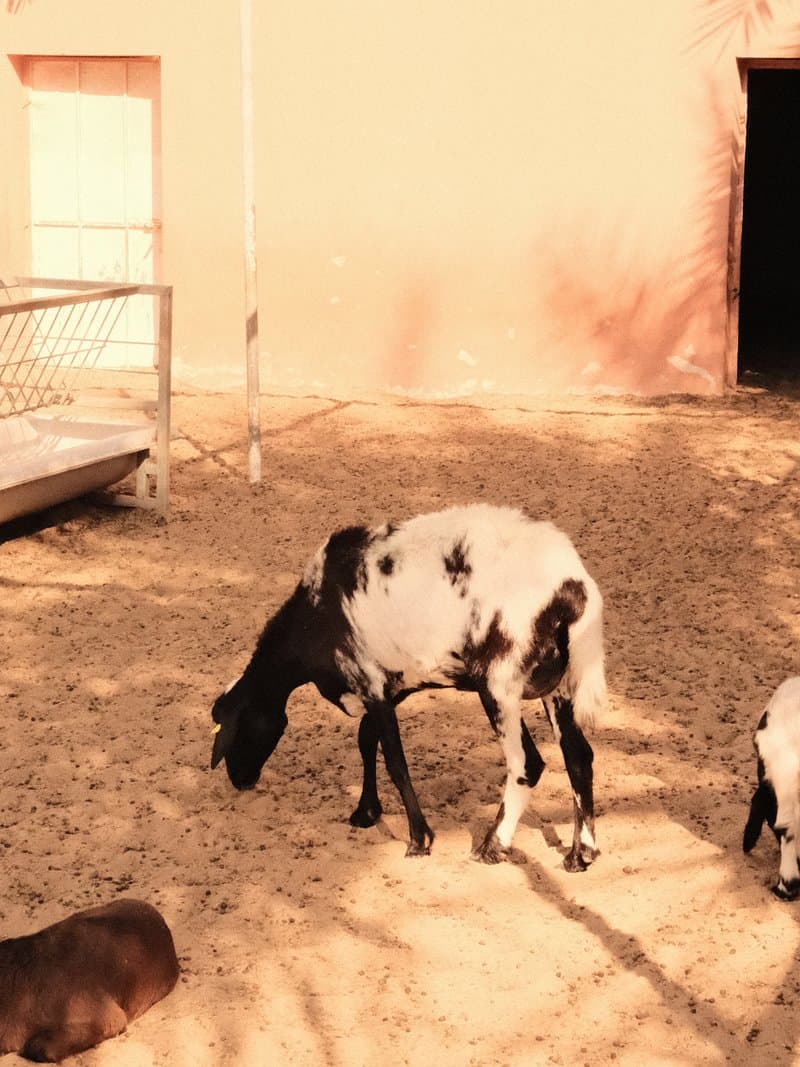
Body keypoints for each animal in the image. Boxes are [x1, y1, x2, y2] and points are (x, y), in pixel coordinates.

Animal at [210, 504, 606, 867]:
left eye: (237, 727)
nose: (239, 779)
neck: (314, 620)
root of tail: (573, 588)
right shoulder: (391, 687)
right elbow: (366, 740)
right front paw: (366, 812)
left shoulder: (370, 684)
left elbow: (395, 763)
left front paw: (419, 840)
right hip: (559, 686)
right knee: (578, 756)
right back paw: (580, 854)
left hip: (498, 684)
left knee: (526, 764)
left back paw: (493, 846)